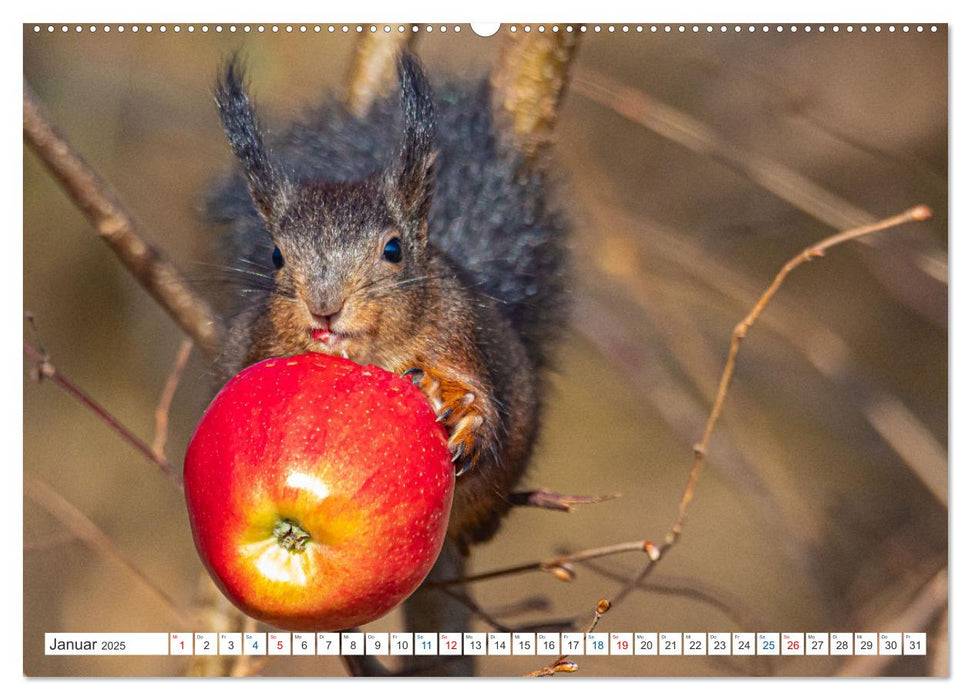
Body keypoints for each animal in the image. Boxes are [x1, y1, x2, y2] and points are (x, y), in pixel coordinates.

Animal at [205, 53, 568, 552]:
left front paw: (459, 411)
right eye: (276, 255)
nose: (324, 305)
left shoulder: (455, 333)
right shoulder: (254, 349)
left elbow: (482, 406)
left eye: (393, 250)